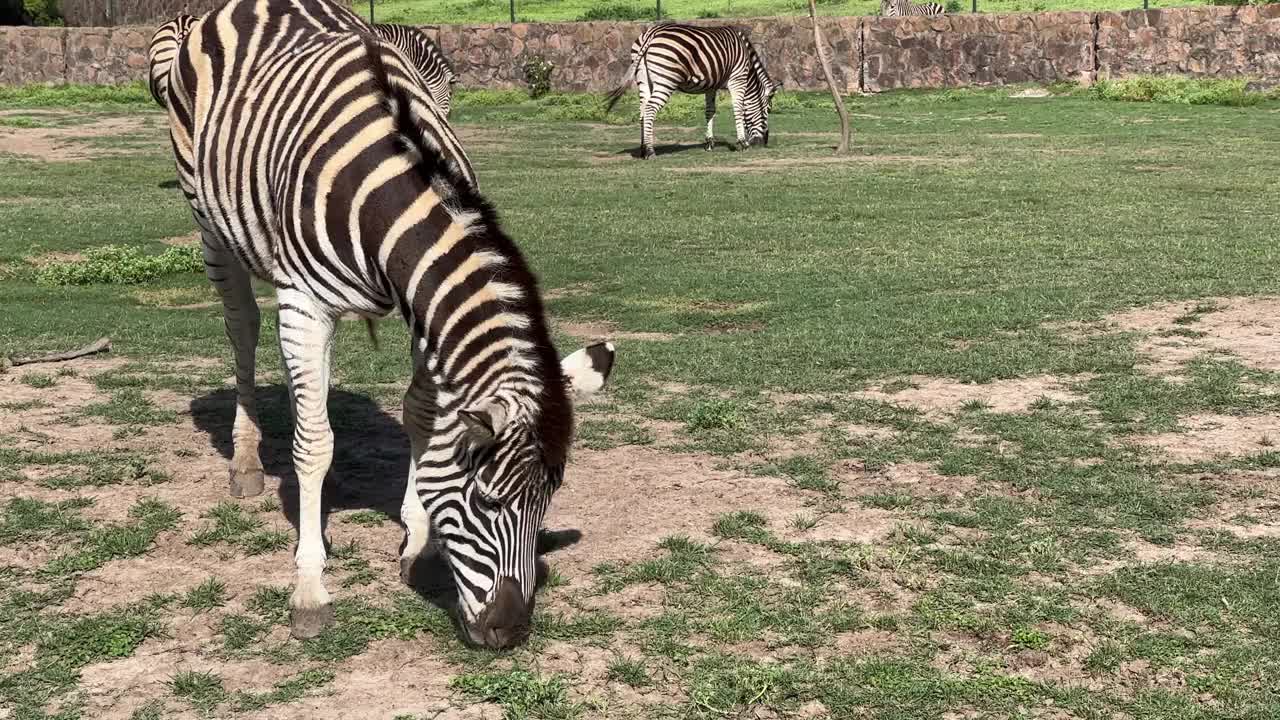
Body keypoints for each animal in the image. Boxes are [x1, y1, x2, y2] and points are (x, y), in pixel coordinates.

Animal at [154, 0, 614, 650]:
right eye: (487, 502)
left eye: (548, 499)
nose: (509, 632)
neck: (395, 188)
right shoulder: (303, 301)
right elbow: (315, 445)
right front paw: (310, 588)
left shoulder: (421, 306)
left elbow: (419, 414)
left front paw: (416, 542)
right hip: (211, 227)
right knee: (242, 329)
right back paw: (248, 463)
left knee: (308, 388)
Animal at [606, 22, 783, 159]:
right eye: (768, 110)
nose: (764, 142)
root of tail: (651, 33)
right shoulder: (737, 78)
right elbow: (738, 109)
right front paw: (742, 143)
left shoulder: (711, 85)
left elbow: (710, 111)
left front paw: (709, 143)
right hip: (666, 79)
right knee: (650, 109)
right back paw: (650, 151)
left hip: (643, 79)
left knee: (643, 110)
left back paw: (643, 149)